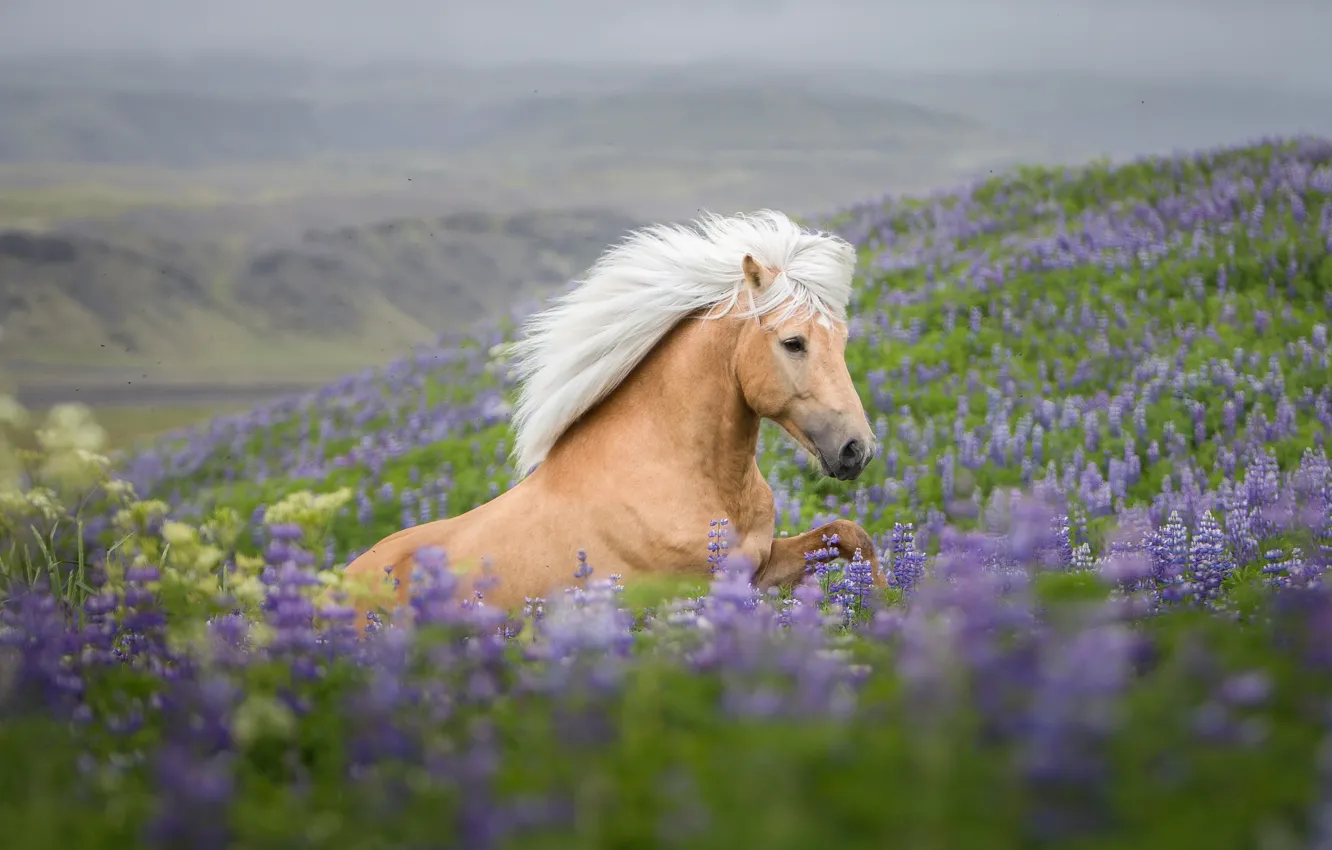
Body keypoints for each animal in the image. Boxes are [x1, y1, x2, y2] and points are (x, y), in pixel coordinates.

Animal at [343, 209, 885, 620]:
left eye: (842, 339)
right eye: (793, 342)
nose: (856, 449)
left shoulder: (761, 566)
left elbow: (849, 535)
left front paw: (885, 606)